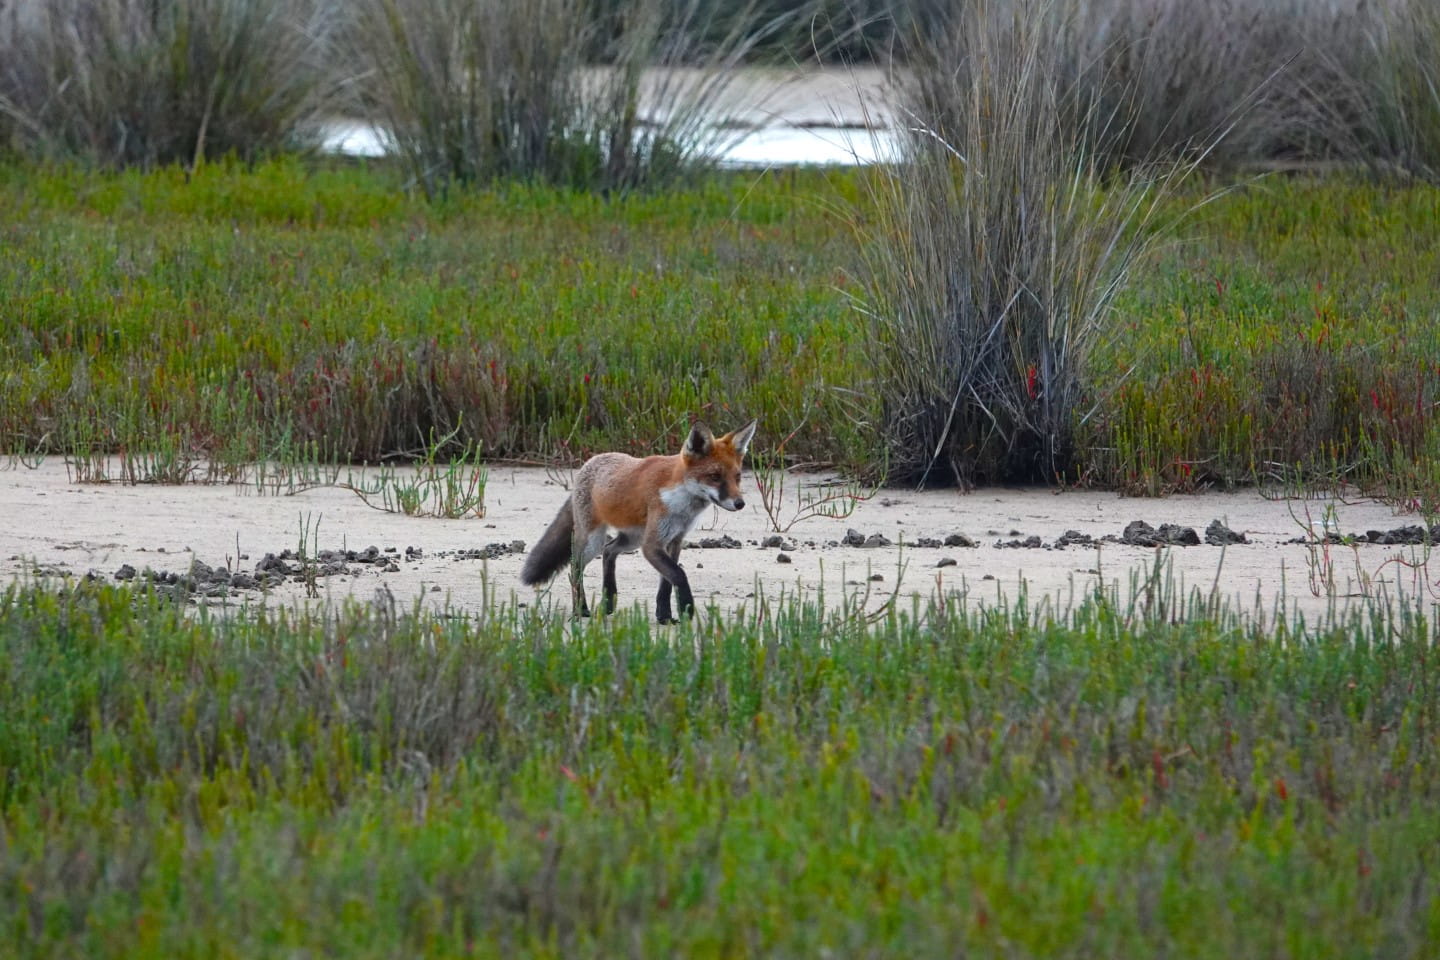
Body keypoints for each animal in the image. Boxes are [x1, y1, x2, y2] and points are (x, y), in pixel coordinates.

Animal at [520, 419, 757, 623]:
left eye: (737, 477)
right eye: (715, 477)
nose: (740, 503)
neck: (681, 503)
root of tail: (590, 462)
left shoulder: (674, 540)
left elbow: (666, 583)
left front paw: (664, 616)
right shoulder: (652, 544)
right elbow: (679, 575)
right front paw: (686, 610)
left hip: (631, 539)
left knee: (609, 551)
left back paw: (608, 601)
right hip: (594, 540)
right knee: (574, 566)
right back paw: (581, 609)